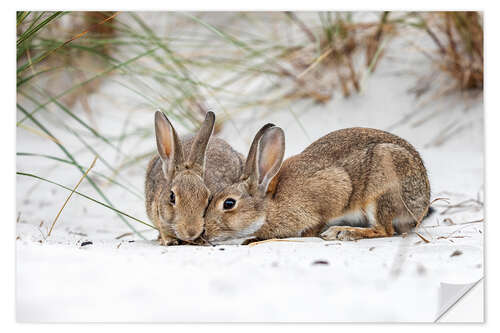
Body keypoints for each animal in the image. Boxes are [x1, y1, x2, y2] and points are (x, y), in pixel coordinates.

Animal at [201, 124, 432, 241]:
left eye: (229, 203)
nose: (205, 231)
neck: (269, 206)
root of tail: (422, 202)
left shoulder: (333, 190)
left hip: (381, 192)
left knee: (384, 230)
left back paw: (342, 232)